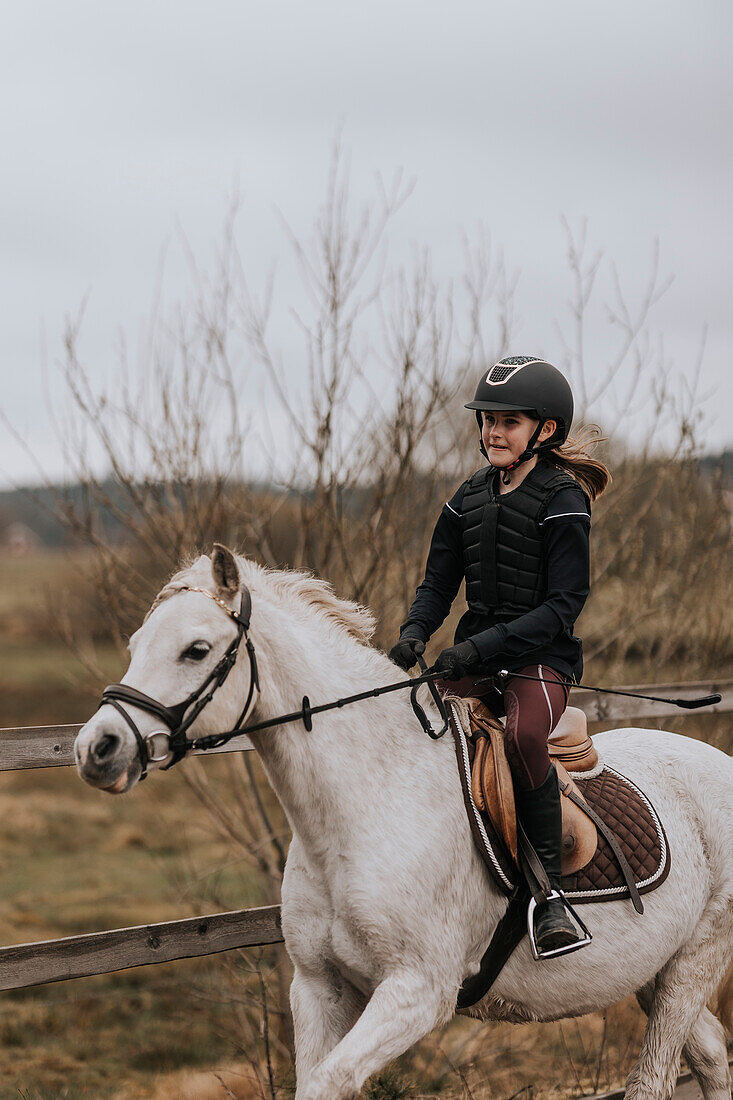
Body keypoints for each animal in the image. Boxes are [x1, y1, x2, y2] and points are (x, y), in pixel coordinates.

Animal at [75, 545, 730, 1095]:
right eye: (136, 645)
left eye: (197, 649)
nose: (97, 749)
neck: (364, 807)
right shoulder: (318, 987)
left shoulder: (416, 992)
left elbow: (328, 1083)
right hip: (651, 971)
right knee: (713, 1055)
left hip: (692, 962)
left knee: (657, 1077)